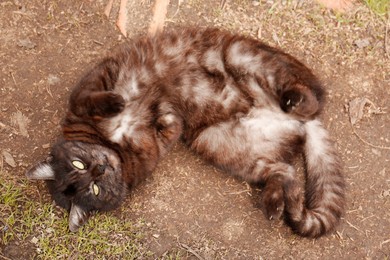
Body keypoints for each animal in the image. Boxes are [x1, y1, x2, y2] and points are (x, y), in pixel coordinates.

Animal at [26, 26, 344, 238]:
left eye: (79, 164)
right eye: (94, 188)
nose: (101, 169)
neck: (113, 142)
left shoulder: (91, 86)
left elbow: (91, 98)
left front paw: (122, 102)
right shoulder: (155, 143)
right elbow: (167, 124)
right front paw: (162, 111)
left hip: (245, 57)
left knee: (312, 94)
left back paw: (294, 100)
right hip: (219, 143)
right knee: (284, 172)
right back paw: (275, 205)